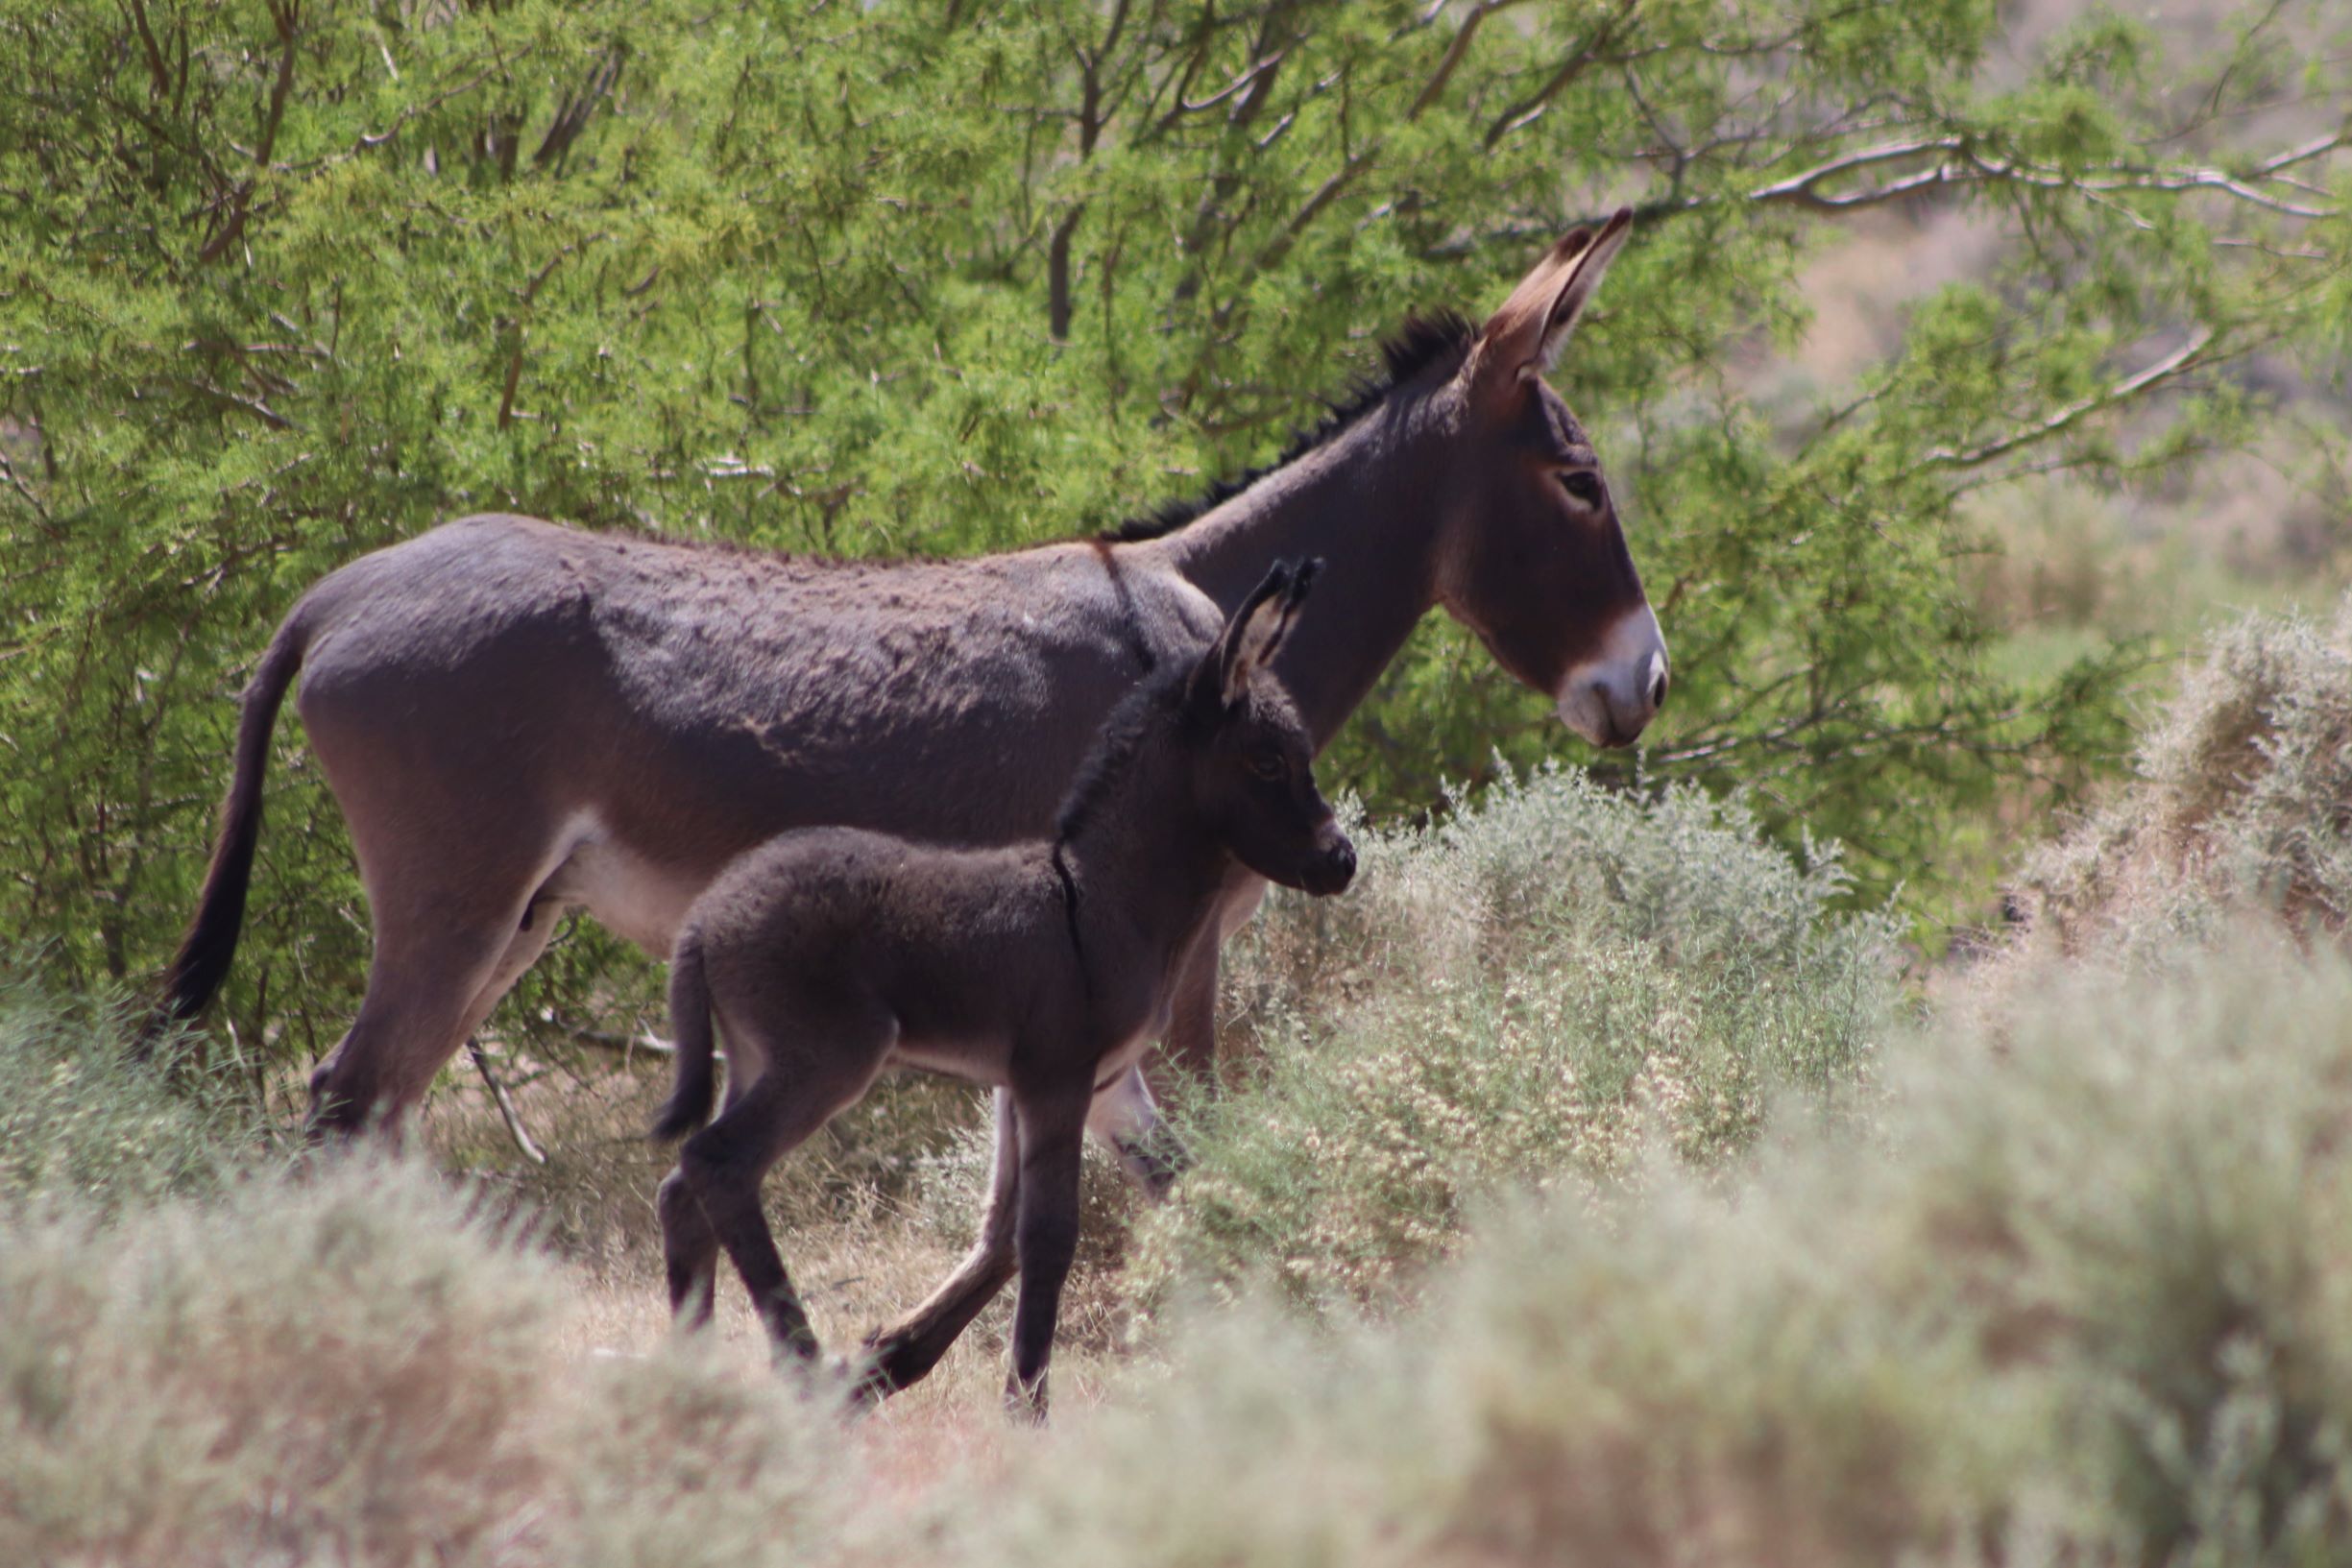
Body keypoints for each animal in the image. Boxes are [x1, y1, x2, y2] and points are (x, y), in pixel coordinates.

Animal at [653, 557, 1354, 1419]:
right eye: (1266, 762)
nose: (1341, 861)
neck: (1102, 893)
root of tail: (704, 918)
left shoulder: (1068, 1084)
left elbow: (1021, 1227)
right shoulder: (1055, 1078)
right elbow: (1048, 1235)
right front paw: (1026, 1408)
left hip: (756, 1057)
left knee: (683, 1189)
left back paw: (693, 1376)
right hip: (827, 1058)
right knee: (719, 1163)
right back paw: (803, 1367)